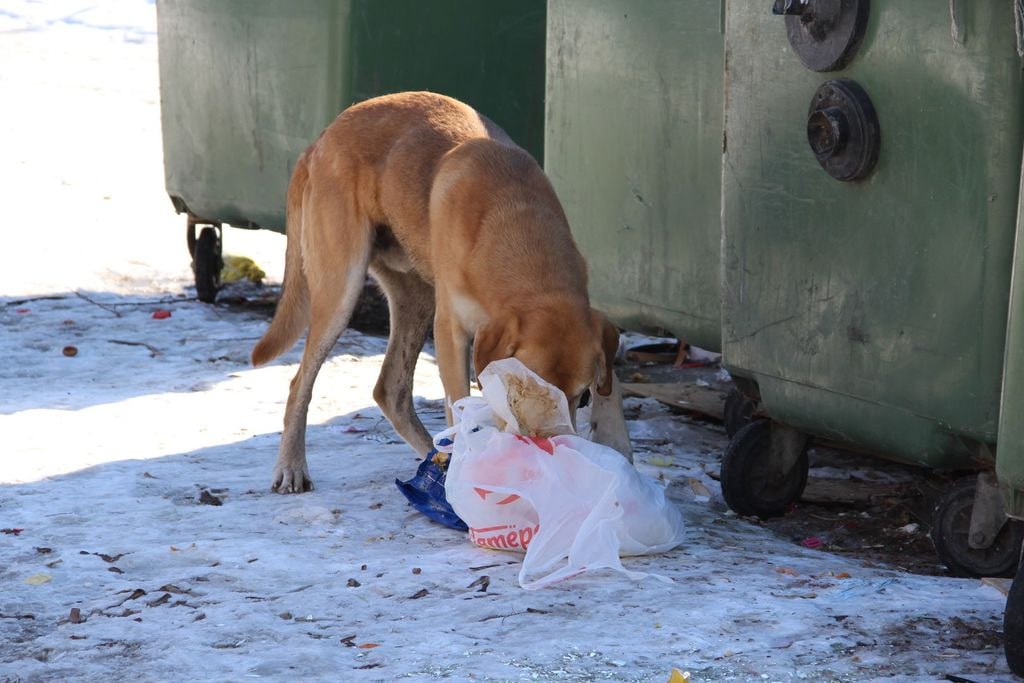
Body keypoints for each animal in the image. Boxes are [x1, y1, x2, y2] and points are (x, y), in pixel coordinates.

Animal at [251, 93, 626, 493]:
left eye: (582, 397)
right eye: (526, 393)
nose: (553, 448)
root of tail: (321, 139)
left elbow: (612, 388)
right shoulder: (450, 332)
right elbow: (459, 400)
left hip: (415, 298)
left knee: (390, 390)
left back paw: (436, 459)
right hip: (341, 290)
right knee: (300, 384)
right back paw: (291, 466)